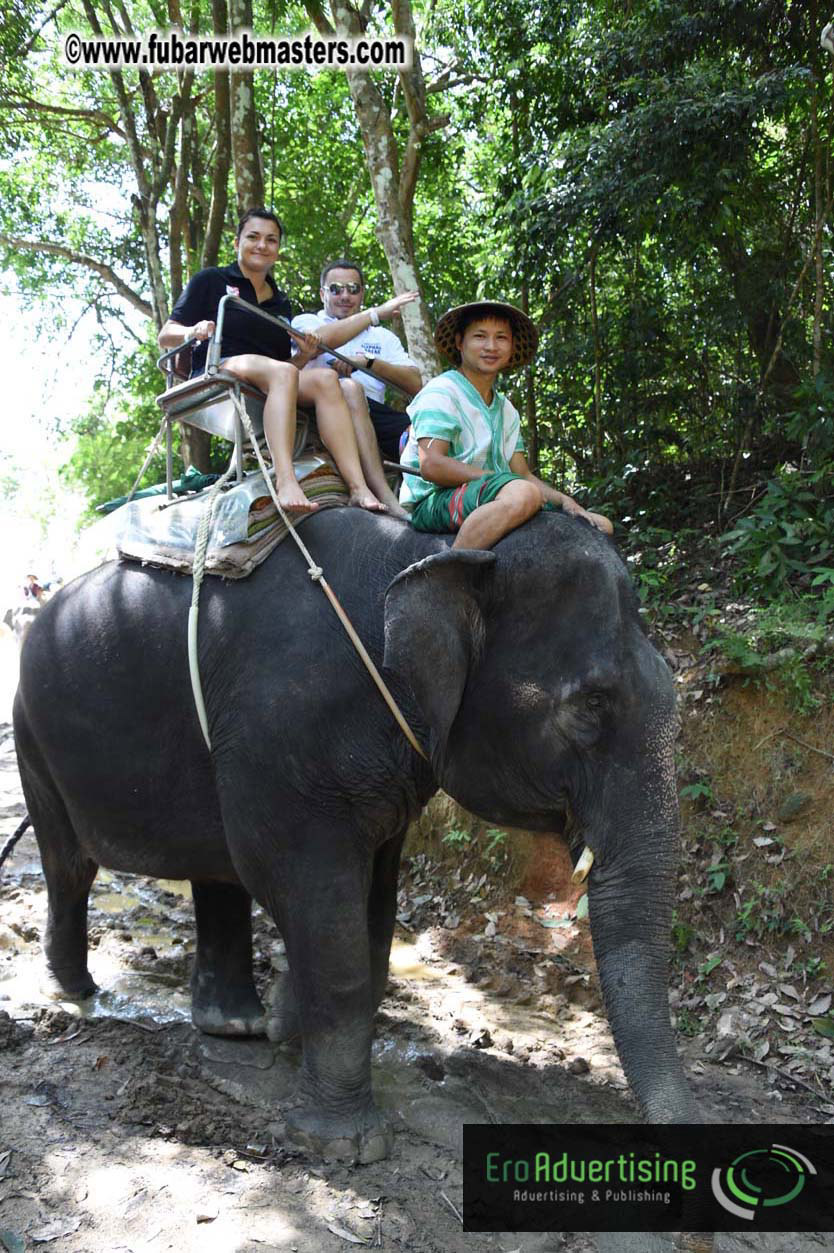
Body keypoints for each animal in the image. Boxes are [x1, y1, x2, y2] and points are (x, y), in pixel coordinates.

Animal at [13, 506, 699, 1163]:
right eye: (591, 706)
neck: (429, 549)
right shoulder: (282, 735)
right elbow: (299, 890)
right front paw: (344, 1144)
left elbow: (372, 910)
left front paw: (287, 1021)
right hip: (32, 740)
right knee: (71, 867)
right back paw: (77, 992)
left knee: (214, 872)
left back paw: (235, 1025)